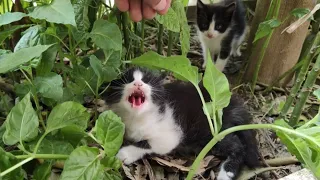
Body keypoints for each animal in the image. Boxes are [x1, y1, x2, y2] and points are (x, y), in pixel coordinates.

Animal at [102, 67, 260, 180]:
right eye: (127, 80)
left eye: (147, 81)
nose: (138, 83)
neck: (137, 117)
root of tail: (233, 105)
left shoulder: (170, 134)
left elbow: (148, 143)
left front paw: (125, 153)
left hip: (211, 131)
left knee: (237, 145)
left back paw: (227, 173)